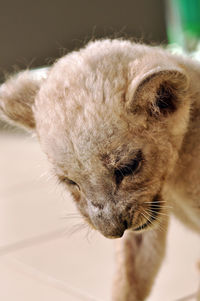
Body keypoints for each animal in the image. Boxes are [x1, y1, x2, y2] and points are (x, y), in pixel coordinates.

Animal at [0, 38, 200, 298]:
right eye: (71, 182)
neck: (174, 180)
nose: (113, 232)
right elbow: (129, 277)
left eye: (128, 167)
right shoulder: (143, 230)